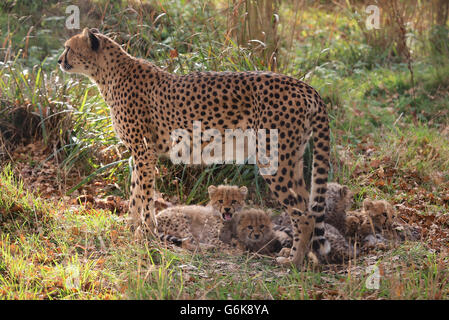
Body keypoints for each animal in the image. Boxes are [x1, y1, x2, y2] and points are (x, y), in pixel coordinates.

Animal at [58, 27, 328, 268]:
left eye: (69, 48)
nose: (60, 60)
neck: (108, 73)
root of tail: (306, 87)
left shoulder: (144, 151)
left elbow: (144, 195)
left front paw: (145, 233)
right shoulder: (139, 153)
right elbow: (135, 193)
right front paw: (133, 228)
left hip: (274, 158)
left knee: (304, 215)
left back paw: (294, 261)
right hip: (293, 159)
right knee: (306, 208)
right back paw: (301, 256)